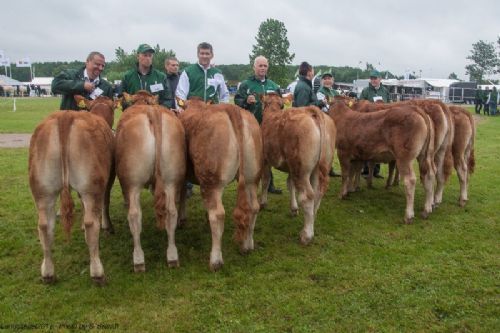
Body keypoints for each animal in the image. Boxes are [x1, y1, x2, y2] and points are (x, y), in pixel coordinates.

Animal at [28, 94, 116, 282]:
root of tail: (65, 117)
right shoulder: (109, 176)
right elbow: (105, 202)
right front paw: (107, 226)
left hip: (42, 188)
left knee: (44, 225)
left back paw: (48, 273)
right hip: (92, 185)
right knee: (91, 223)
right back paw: (97, 273)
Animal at [114, 90, 186, 270]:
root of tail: (152, 112)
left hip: (131, 183)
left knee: (134, 215)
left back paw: (138, 259)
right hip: (171, 179)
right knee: (171, 212)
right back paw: (172, 256)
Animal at [179, 100, 264, 272]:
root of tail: (230, 108)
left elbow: (181, 195)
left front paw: (181, 219)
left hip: (211, 182)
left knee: (218, 214)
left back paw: (215, 260)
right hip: (252, 177)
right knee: (253, 207)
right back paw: (247, 245)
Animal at [258, 93, 336, 244]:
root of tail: (312, 111)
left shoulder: (265, 160)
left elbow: (266, 180)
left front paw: (263, 203)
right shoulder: (290, 167)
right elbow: (290, 184)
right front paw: (293, 209)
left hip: (301, 169)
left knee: (308, 196)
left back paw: (306, 235)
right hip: (318, 167)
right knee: (318, 192)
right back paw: (312, 221)